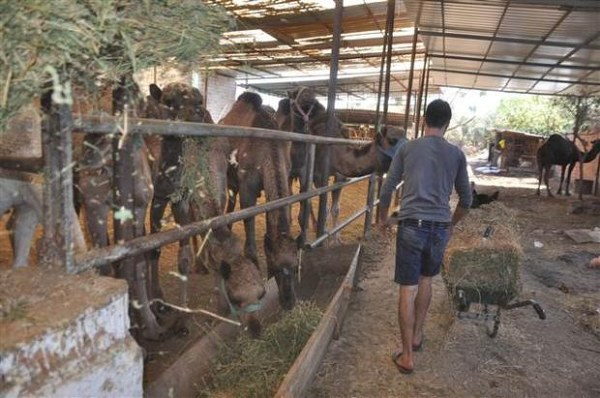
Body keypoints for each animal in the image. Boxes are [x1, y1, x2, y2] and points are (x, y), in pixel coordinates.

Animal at [145, 82, 264, 332]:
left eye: (261, 293)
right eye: (236, 297)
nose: (255, 327)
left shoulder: (215, 194)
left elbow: (204, 245)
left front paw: (217, 308)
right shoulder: (170, 198)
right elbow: (173, 255)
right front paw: (178, 316)